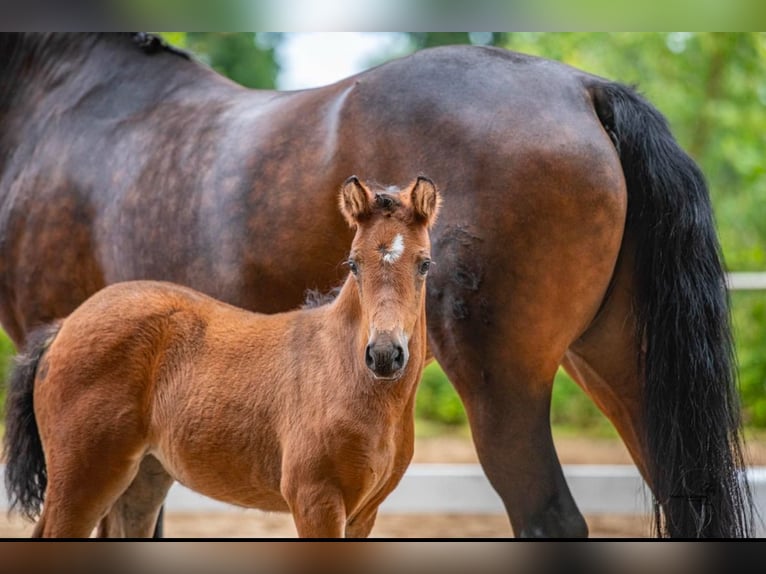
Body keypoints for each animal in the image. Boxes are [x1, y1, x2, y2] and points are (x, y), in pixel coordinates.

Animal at [4, 176, 444, 540]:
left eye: (424, 264)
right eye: (354, 263)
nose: (385, 355)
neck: (342, 371)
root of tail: (64, 326)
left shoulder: (363, 513)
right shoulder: (315, 500)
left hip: (142, 476)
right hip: (81, 478)